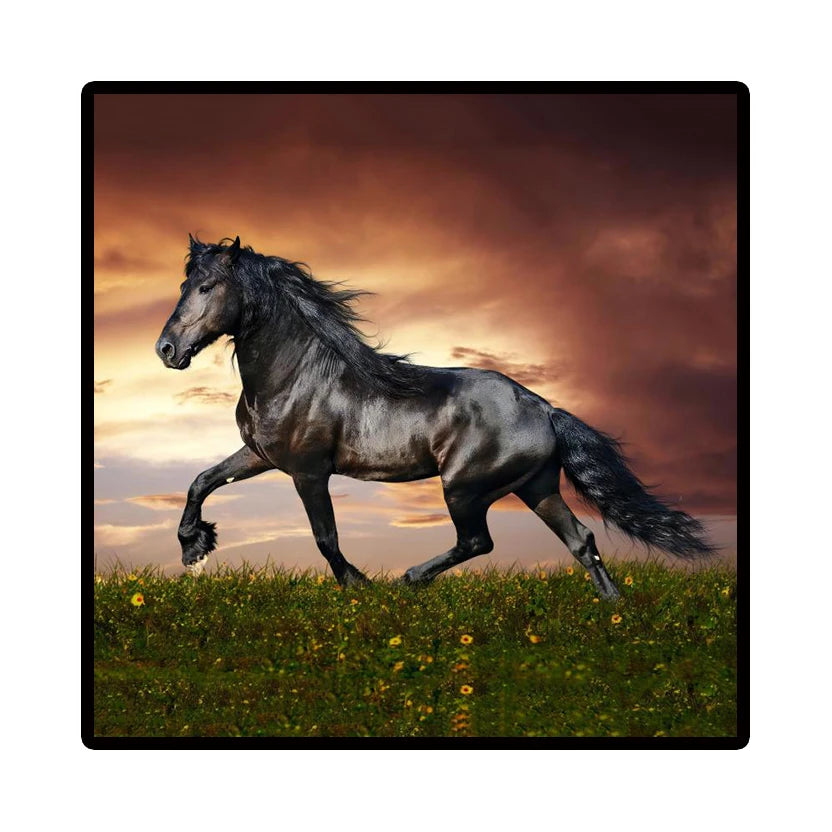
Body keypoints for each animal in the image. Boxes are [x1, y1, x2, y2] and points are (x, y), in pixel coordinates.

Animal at [155, 236, 713, 597]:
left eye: (207, 287)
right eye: (184, 284)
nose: (166, 349)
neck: (295, 374)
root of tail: (545, 409)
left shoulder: (308, 471)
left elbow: (325, 537)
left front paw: (359, 586)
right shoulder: (261, 455)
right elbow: (201, 480)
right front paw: (194, 548)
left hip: (464, 488)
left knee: (478, 541)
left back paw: (409, 579)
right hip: (537, 487)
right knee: (581, 540)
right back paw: (614, 611)